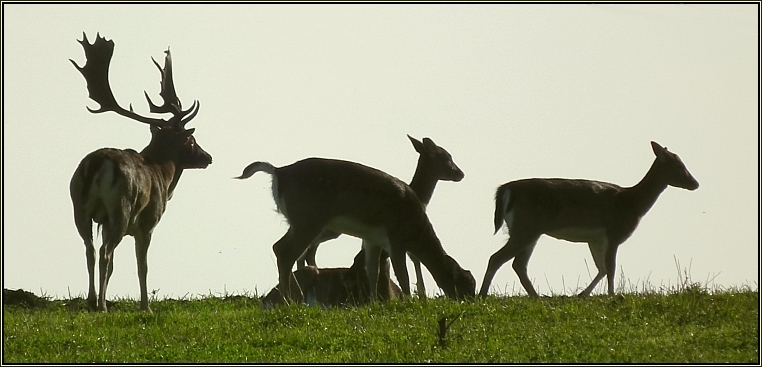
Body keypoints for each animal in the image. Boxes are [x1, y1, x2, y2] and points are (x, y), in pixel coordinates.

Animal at [69, 33, 211, 312]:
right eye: (191, 140)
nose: (208, 157)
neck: (163, 174)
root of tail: (96, 163)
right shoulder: (148, 223)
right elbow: (142, 266)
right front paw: (146, 306)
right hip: (120, 209)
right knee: (105, 253)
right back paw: (102, 306)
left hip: (79, 206)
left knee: (90, 249)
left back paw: (92, 301)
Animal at [236, 157, 476, 302]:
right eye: (466, 285)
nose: (471, 301)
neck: (416, 231)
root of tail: (278, 172)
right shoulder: (396, 238)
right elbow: (403, 274)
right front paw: (408, 301)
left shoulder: (372, 239)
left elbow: (373, 270)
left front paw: (374, 303)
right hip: (308, 219)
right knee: (286, 252)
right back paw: (290, 301)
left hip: (298, 221)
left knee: (279, 248)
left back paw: (295, 298)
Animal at [296, 137, 464, 298]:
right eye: (447, 157)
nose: (461, 173)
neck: (420, 199)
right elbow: (413, 259)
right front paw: (419, 294)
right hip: (329, 230)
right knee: (308, 249)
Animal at [478, 142, 696, 300]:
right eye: (679, 166)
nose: (695, 183)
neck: (632, 203)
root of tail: (505, 190)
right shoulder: (614, 233)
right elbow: (611, 267)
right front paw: (611, 296)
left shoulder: (595, 239)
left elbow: (601, 268)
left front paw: (582, 294)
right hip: (526, 226)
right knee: (497, 258)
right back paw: (482, 295)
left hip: (530, 230)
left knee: (519, 265)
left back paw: (536, 296)